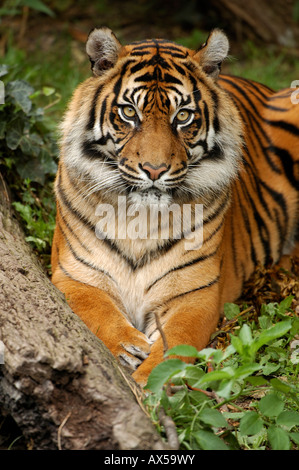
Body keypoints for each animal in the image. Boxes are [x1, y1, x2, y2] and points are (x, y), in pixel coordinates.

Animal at [51, 26, 299, 386]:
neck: (138, 219)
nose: (154, 170)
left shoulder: (196, 294)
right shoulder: (73, 275)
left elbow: (177, 344)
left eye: (182, 116)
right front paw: (130, 347)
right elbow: (98, 312)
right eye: (129, 112)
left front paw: (149, 383)